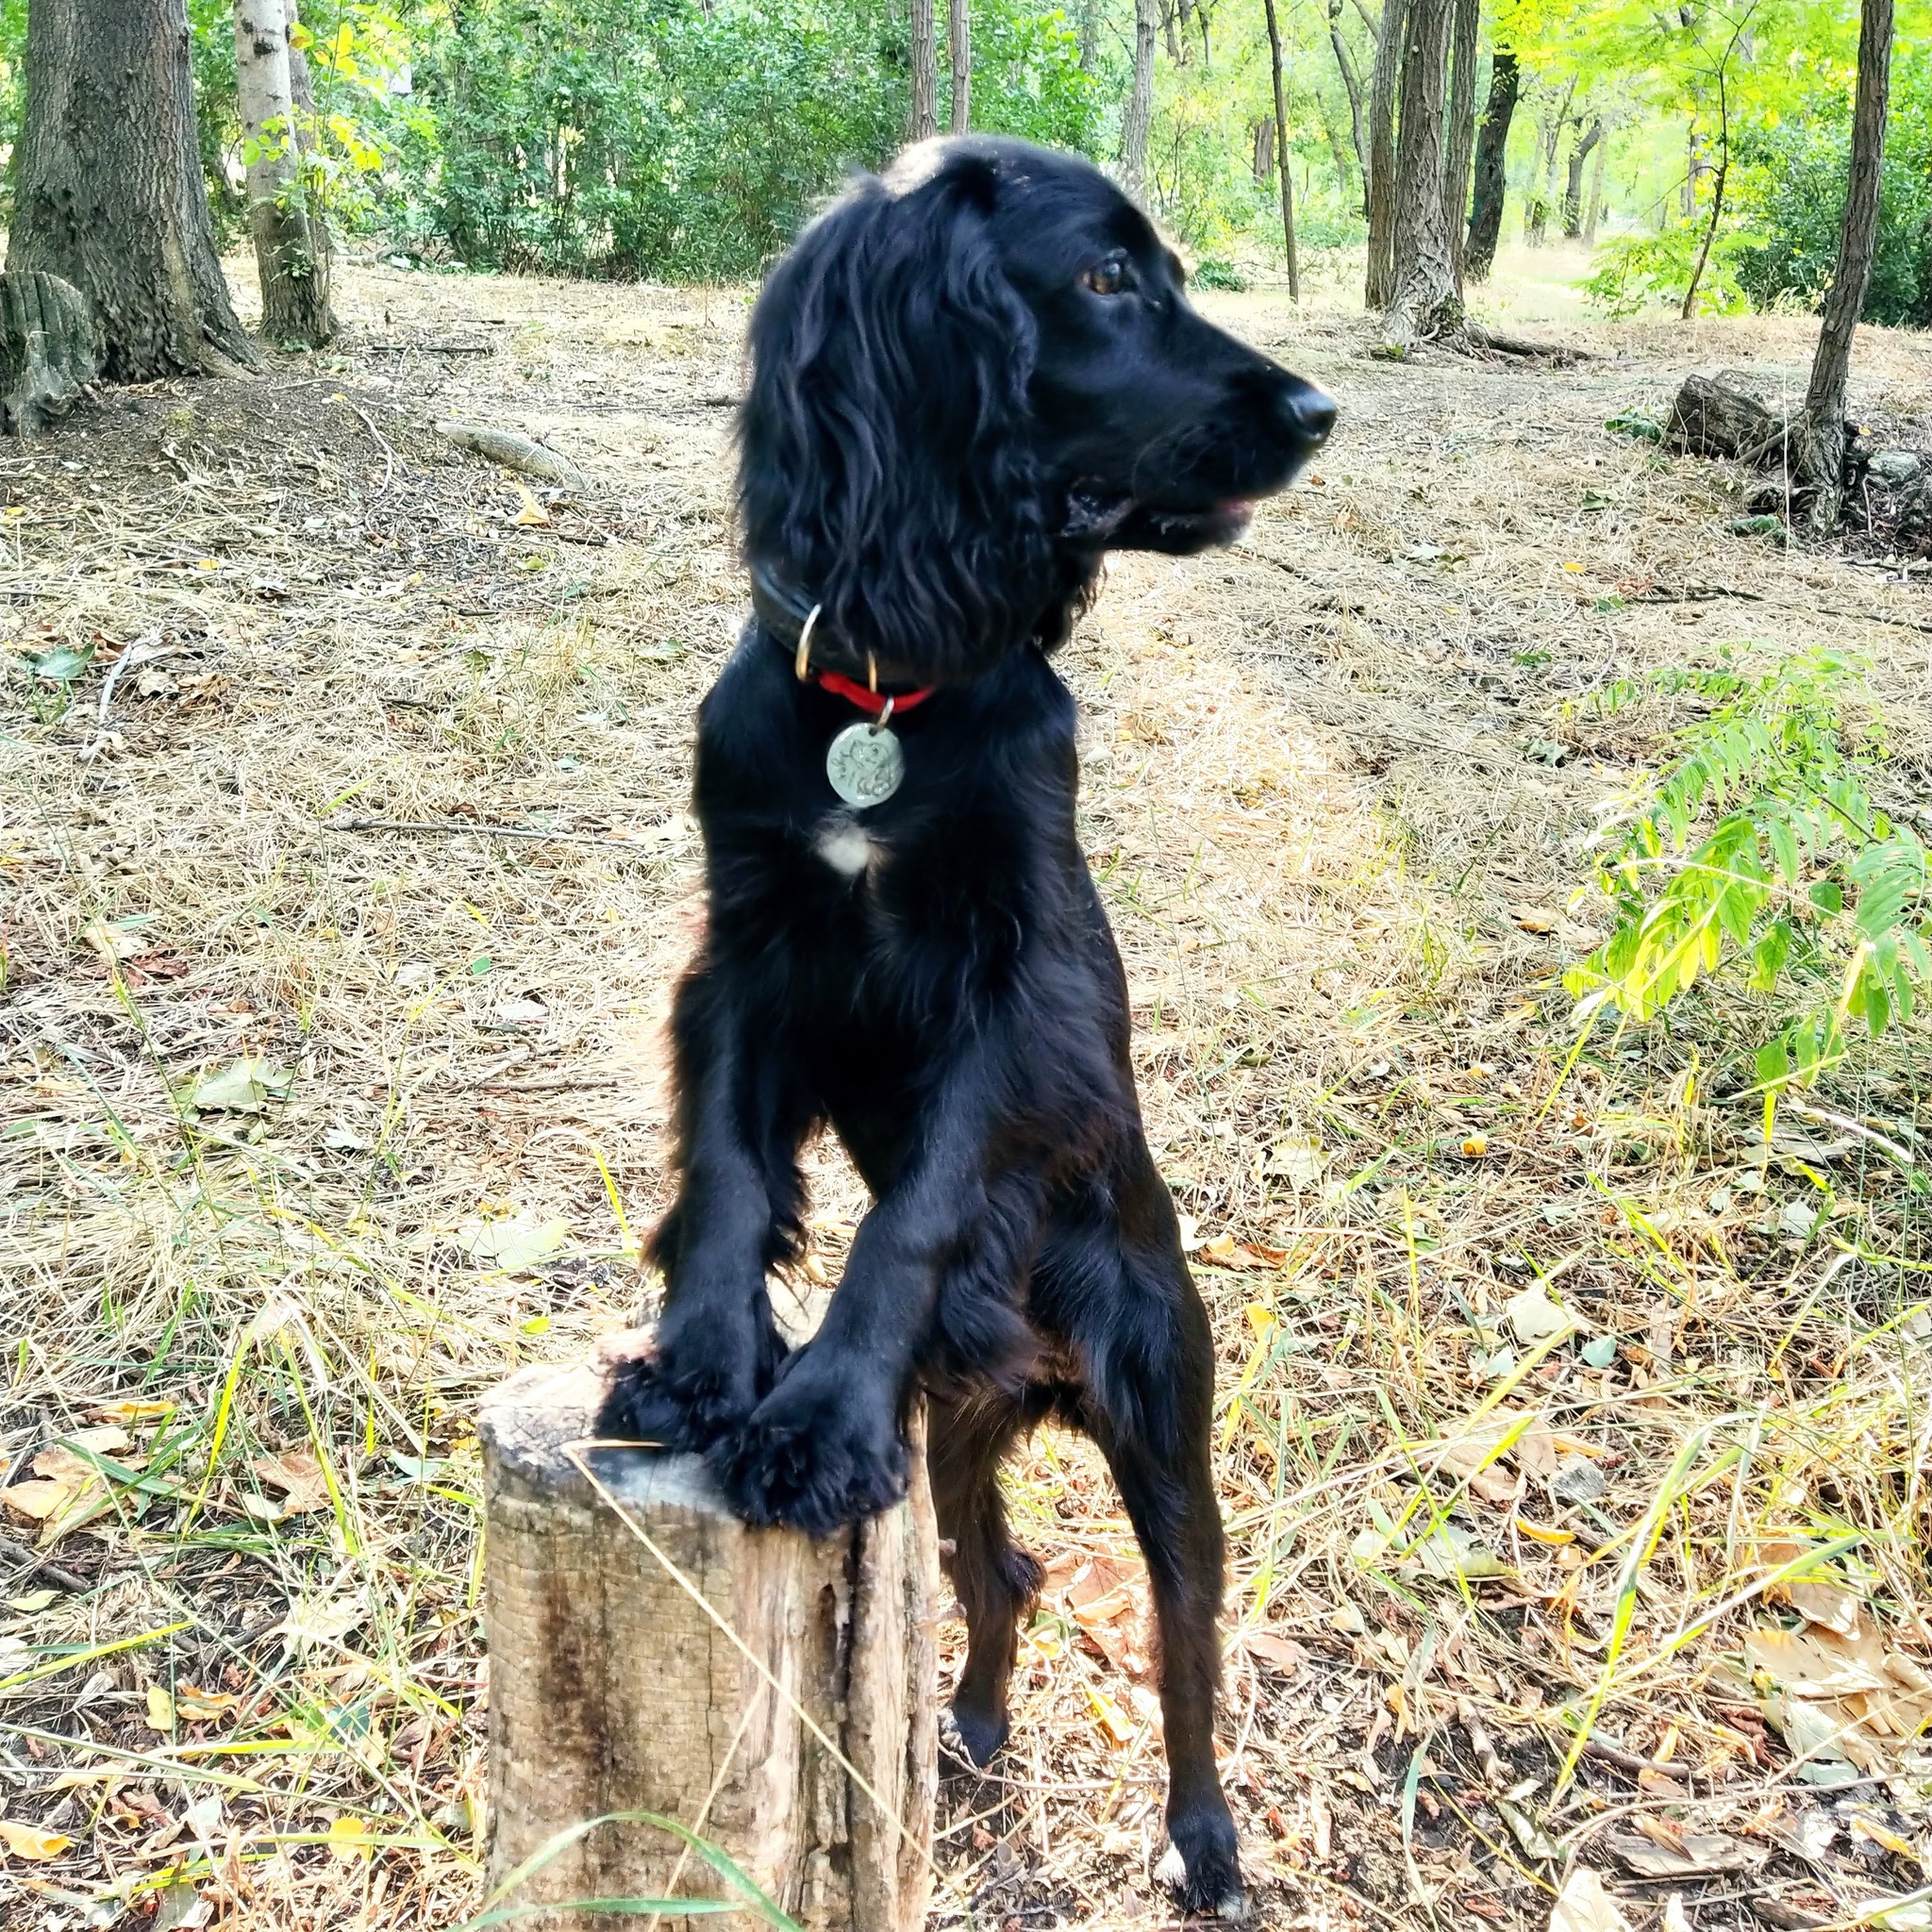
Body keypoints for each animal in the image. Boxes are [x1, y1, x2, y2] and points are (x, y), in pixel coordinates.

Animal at [602, 136, 1329, 1916]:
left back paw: (1203, 1840)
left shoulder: (1017, 996)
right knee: (1002, 1569)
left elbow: (914, 1209)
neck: (889, 685)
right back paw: (975, 1724)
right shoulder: (747, 950)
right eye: (1105, 280)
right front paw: (701, 1364)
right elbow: (727, 1173)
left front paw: (811, 1414)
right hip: (965, 1435)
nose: (1317, 406)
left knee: (1185, 1646)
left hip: (1165, 1433)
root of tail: (1047, 1359)